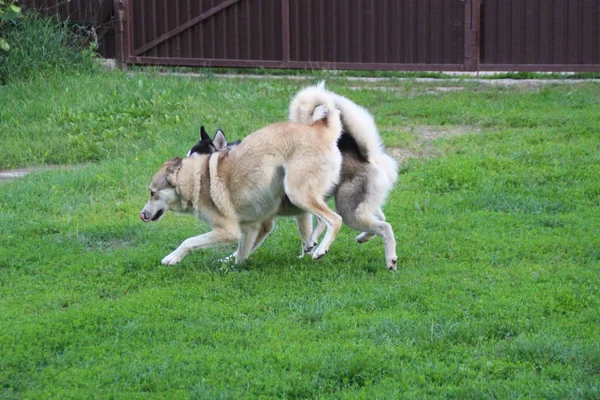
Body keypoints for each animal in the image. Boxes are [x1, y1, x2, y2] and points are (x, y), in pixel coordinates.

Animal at [138, 99, 340, 264]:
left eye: (152, 193)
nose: (142, 214)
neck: (198, 181)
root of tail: (321, 127)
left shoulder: (229, 231)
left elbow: (189, 241)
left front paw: (172, 258)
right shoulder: (254, 226)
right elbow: (242, 253)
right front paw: (230, 265)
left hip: (296, 193)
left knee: (335, 219)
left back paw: (320, 249)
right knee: (321, 220)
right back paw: (312, 243)